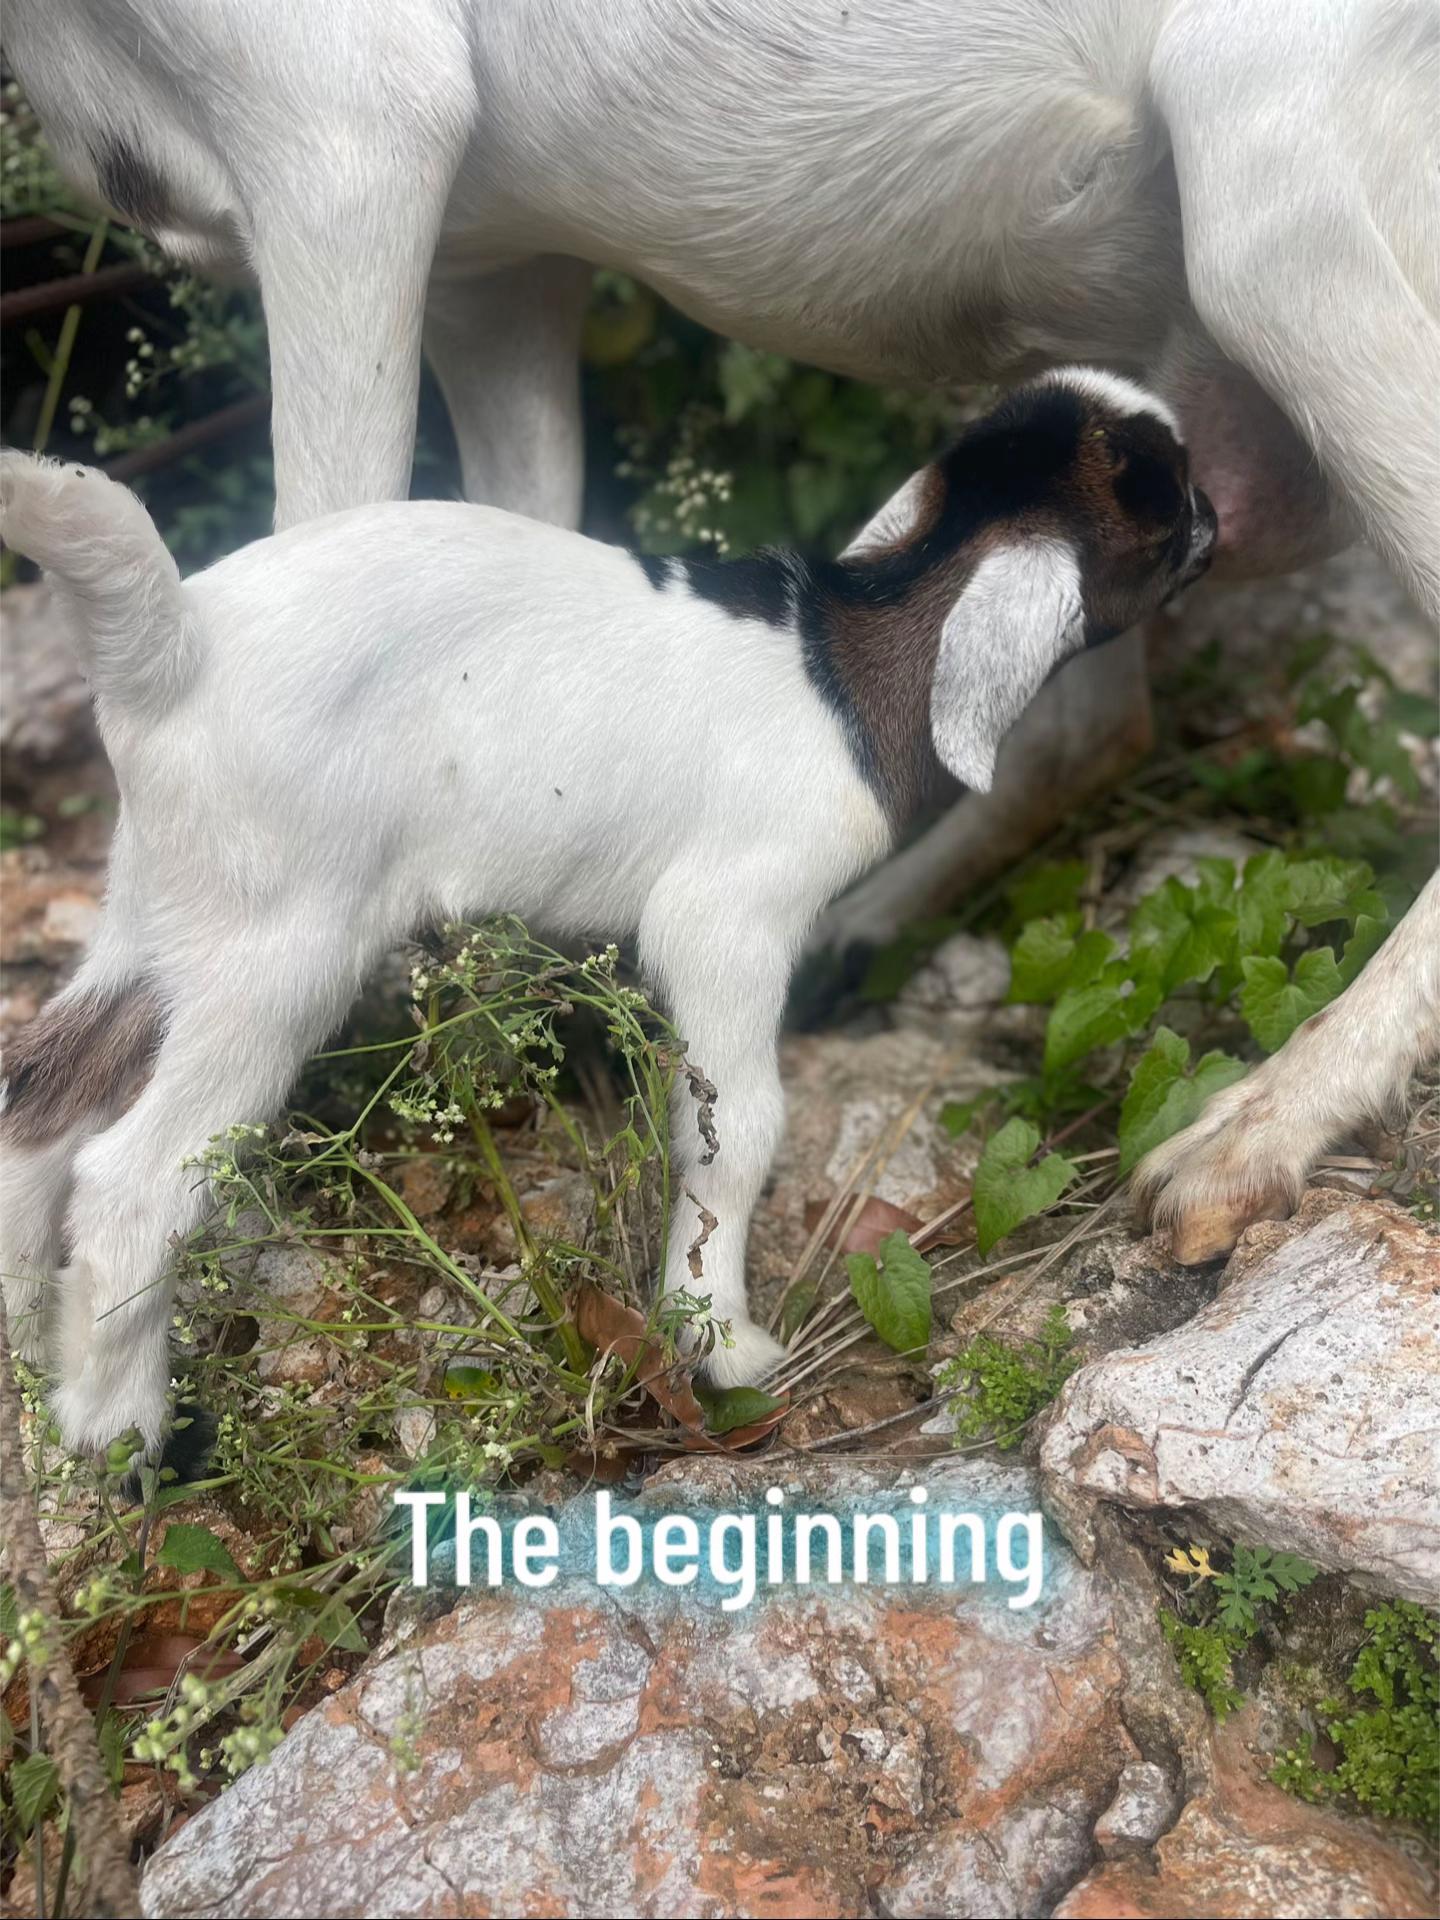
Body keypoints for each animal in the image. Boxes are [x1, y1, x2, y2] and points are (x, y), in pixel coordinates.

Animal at [0, 370, 1215, 1455]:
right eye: (1160, 507)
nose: (1218, 519)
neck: (845, 660)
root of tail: (181, 646)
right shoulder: (732, 915)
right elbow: (736, 1124)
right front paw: (716, 1339)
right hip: (275, 947)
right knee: (130, 1178)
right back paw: (118, 1431)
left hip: (161, 908)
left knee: (41, 1097)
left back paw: (22, 1342)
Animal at [7, 0, 1436, 1272]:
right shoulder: (491, 273)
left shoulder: (345, 133)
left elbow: (334, 515)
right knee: (1086, 720)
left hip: (1268, 183)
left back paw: (1259, 1126)